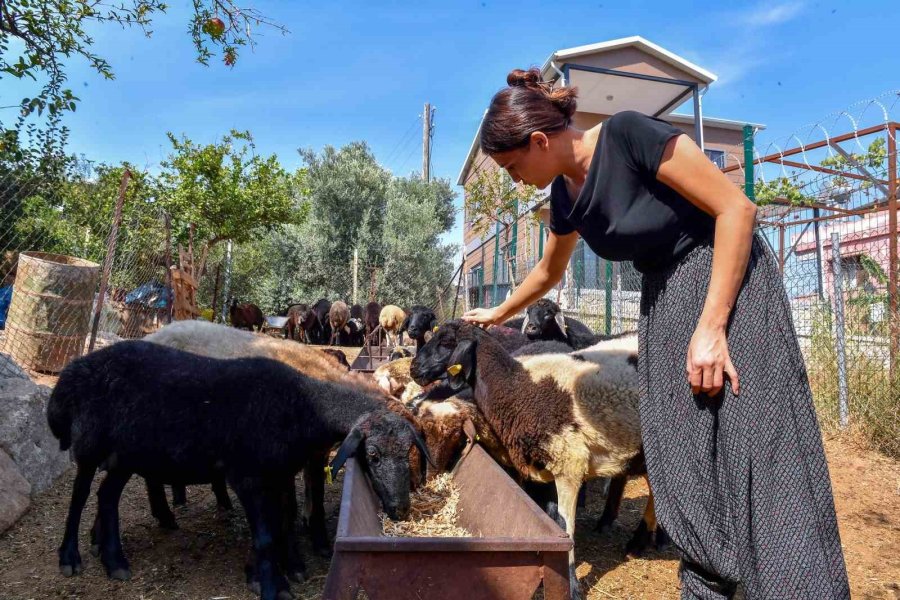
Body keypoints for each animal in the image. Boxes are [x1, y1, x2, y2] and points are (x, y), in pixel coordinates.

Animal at [45, 340, 432, 596]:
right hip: (91, 444)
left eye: (410, 450)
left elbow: (279, 521)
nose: (400, 509)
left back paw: (115, 561)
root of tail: (73, 372)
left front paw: (272, 571)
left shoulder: (277, 472)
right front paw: (272, 585)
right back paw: (70, 557)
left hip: (126, 455)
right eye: (373, 455)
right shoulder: (247, 475)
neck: (302, 404)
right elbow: (265, 533)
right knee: (80, 495)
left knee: (106, 496)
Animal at [410, 324, 652, 600]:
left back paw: (641, 540)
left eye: (447, 342)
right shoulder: (544, 471)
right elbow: (553, 522)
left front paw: (571, 586)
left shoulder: (569, 466)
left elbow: (565, 527)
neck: (518, 388)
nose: (414, 368)